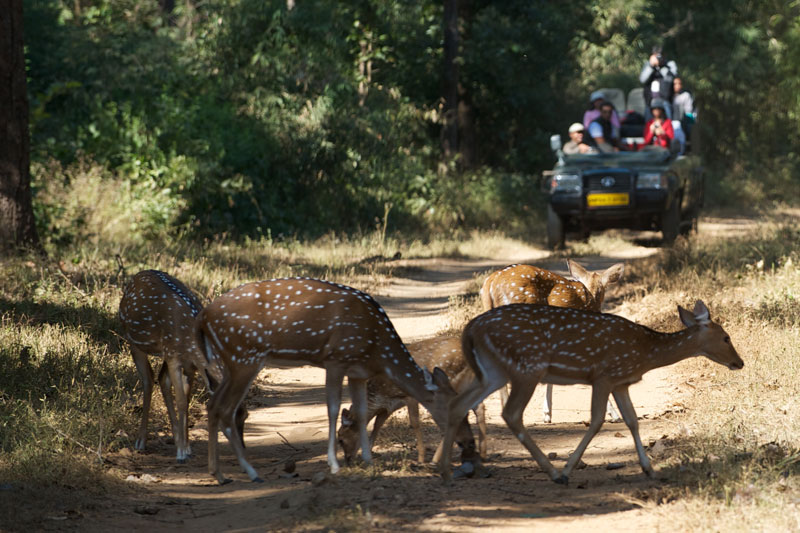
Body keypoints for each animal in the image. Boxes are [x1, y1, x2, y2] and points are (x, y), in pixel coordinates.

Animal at [196, 276, 466, 484]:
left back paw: (219, 474)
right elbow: (334, 409)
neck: (377, 346)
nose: (462, 438)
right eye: (448, 405)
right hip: (244, 356)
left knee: (213, 405)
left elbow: (360, 412)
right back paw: (251, 473)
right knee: (227, 409)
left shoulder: (358, 371)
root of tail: (203, 317)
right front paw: (334, 464)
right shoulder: (336, 358)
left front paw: (367, 461)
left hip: (230, 363)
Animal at [338, 334, 488, 464]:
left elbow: (414, 421)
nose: (348, 460)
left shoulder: (409, 397)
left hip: (451, 383)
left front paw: (421, 458)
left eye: (340, 438)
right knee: (478, 407)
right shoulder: (390, 405)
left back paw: (436, 459)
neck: (381, 394)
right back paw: (482, 453)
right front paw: (369, 452)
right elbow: (378, 423)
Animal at [438, 300, 744, 482]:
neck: (645, 353)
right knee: (511, 414)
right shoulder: (604, 376)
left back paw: (444, 470)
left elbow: (632, 420)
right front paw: (569, 467)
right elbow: (597, 420)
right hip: (527, 367)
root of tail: (471, 328)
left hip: (493, 371)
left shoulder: (621, 382)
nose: (739, 362)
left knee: (458, 403)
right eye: (726, 337)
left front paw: (649, 468)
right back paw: (554, 473)